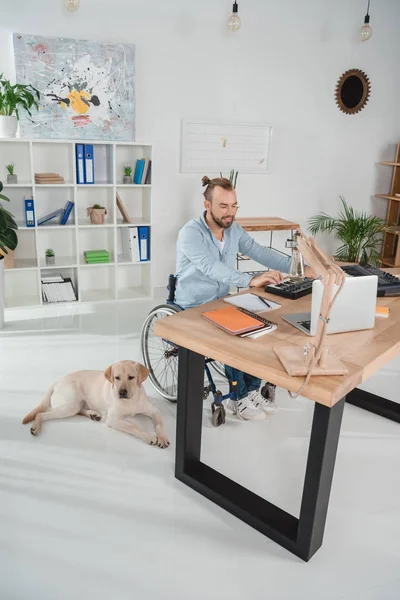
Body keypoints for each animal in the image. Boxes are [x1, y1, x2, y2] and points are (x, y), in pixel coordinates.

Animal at [22, 358, 169, 448]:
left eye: (131, 377)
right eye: (117, 378)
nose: (122, 392)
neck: (132, 400)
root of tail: (56, 382)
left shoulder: (154, 411)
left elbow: (160, 425)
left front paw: (162, 438)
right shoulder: (113, 419)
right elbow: (133, 427)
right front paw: (149, 436)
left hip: (76, 405)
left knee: (79, 411)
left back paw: (93, 414)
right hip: (70, 405)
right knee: (41, 414)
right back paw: (35, 427)